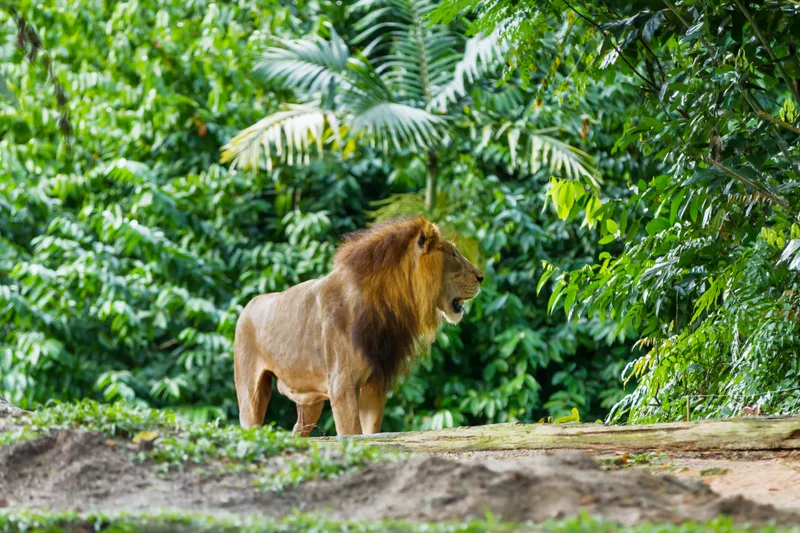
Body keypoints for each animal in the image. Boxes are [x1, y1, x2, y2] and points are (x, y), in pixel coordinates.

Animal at [233, 216, 483, 436]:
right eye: (454, 254)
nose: (481, 276)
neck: (387, 304)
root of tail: (248, 305)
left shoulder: (374, 386)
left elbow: (369, 434)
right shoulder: (342, 387)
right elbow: (351, 434)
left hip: (310, 402)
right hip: (250, 394)